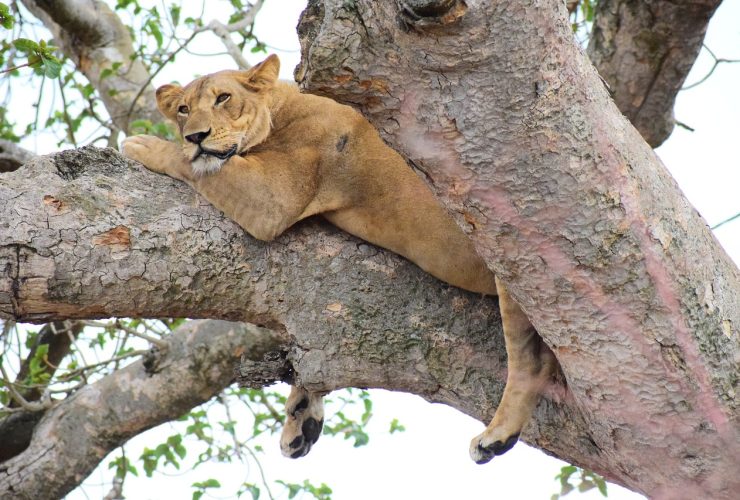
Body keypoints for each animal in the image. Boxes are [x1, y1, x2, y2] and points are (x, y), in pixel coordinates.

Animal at [121, 54, 557, 464]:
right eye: (183, 109)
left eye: (223, 98)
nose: (195, 136)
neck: (279, 109)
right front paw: (302, 414)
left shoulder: (272, 197)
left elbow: (197, 166)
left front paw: (145, 145)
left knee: (533, 363)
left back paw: (495, 437)